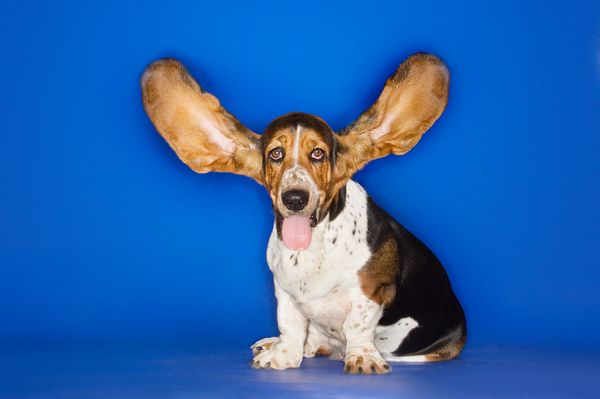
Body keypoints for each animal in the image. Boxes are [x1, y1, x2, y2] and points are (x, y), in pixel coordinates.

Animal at [142, 53, 468, 376]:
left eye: (318, 154)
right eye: (275, 154)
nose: (296, 198)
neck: (312, 249)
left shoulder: (372, 292)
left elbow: (358, 326)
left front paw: (362, 357)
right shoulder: (285, 293)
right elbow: (291, 325)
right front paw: (284, 355)